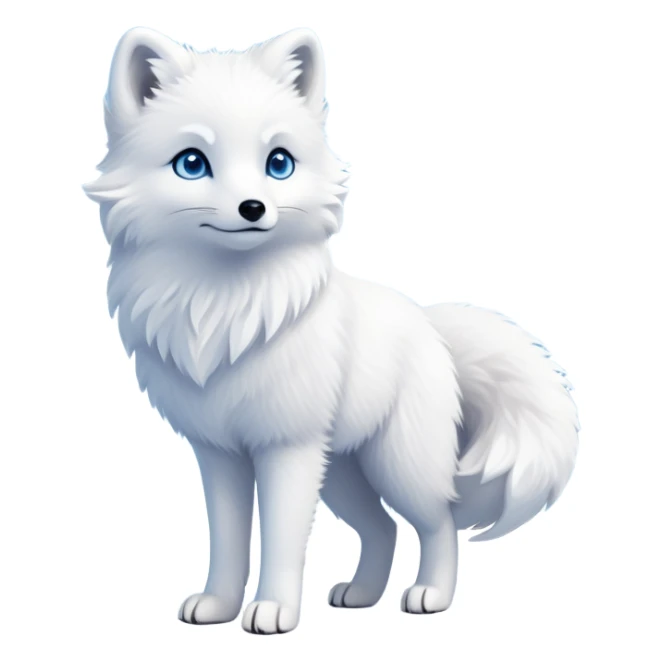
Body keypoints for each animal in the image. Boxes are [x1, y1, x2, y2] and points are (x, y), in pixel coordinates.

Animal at [84, 27, 579, 635]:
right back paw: (361, 595)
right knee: (383, 528)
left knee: (438, 521)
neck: (224, 308)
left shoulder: (287, 449)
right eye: (192, 164)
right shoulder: (220, 453)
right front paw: (220, 605)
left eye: (278, 163)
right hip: (343, 473)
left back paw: (431, 596)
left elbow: (281, 539)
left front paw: (273, 611)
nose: (254, 207)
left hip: (394, 466)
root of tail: (429, 324)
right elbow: (228, 540)